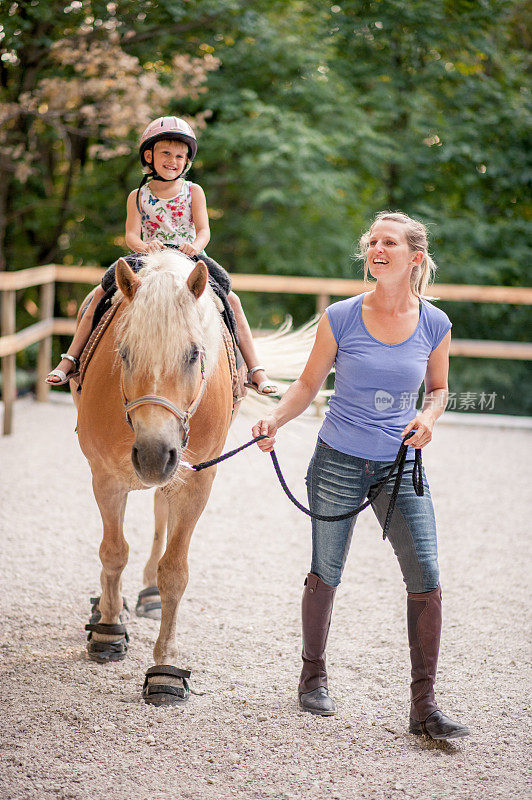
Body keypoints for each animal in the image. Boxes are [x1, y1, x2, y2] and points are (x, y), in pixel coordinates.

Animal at [72, 250, 233, 708]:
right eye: (124, 353)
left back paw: (150, 595)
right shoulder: (105, 475)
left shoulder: (196, 483)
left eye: (194, 354)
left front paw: (166, 668)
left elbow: (174, 571)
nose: (152, 455)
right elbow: (113, 552)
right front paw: (109, 630)